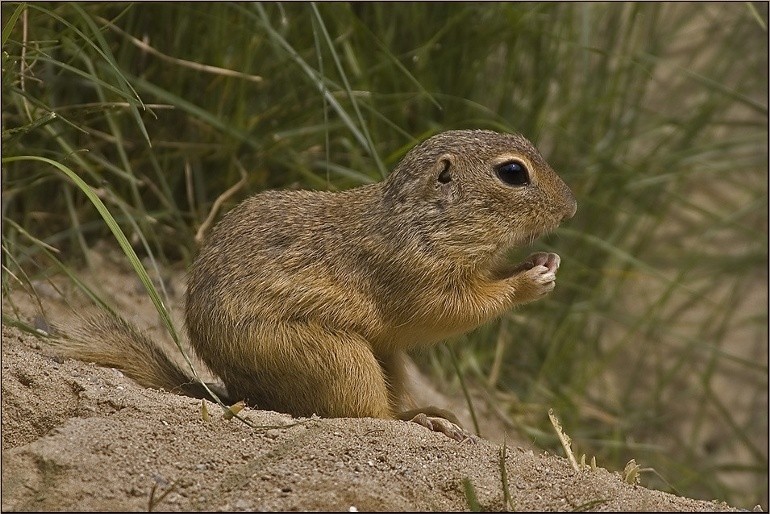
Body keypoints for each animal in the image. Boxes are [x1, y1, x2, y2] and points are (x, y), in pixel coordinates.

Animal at [54, 130, 572, 438]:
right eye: (512, 172)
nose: (571, 207)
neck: (421, 220)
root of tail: (237, 393)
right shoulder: (417, 278)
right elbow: (454, 310)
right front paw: (530, 281)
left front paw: (544, 261)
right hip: (340, 358)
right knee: (368, 416)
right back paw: (425, 420)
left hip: (385, 359)